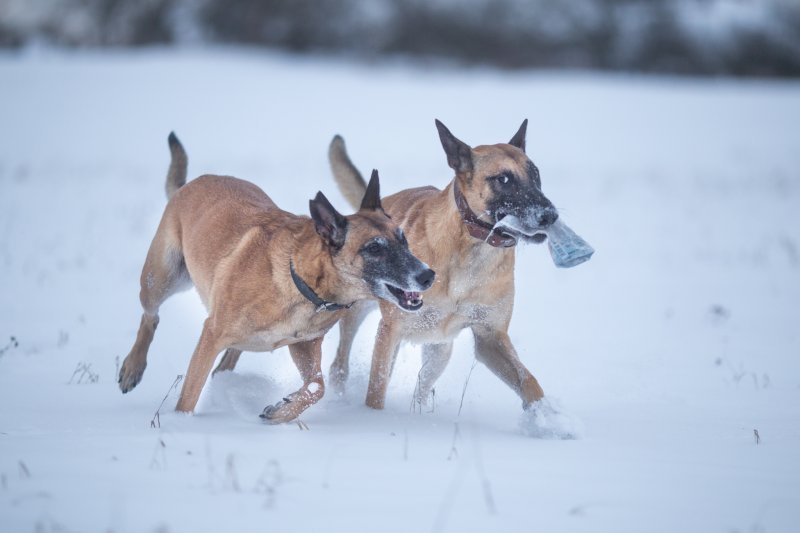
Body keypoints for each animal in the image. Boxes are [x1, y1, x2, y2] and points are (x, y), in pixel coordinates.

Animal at [119, 132, 434, 420]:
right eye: (374, 248)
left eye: (403, 239)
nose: (428, 275)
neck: (303, 282)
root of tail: (189, 185)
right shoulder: (211, 334)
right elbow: (189, 393)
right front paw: (180, 423)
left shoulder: (303, 345)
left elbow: (317, 386)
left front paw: (283, 411)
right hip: (162, 278)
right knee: (150, 316)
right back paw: (132, 368)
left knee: (232, 349)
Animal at [324, 119, 556, 412]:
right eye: (503, 179)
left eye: (535, 175)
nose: (550, 215)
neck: (472, 251)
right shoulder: (391, 330)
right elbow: (376, 389)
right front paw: (373, 418)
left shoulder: (490, 337)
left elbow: (528, 382)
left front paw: (547, 417)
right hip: (358, 312)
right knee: (339, 365)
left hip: (439, 348)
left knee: (423, 385)